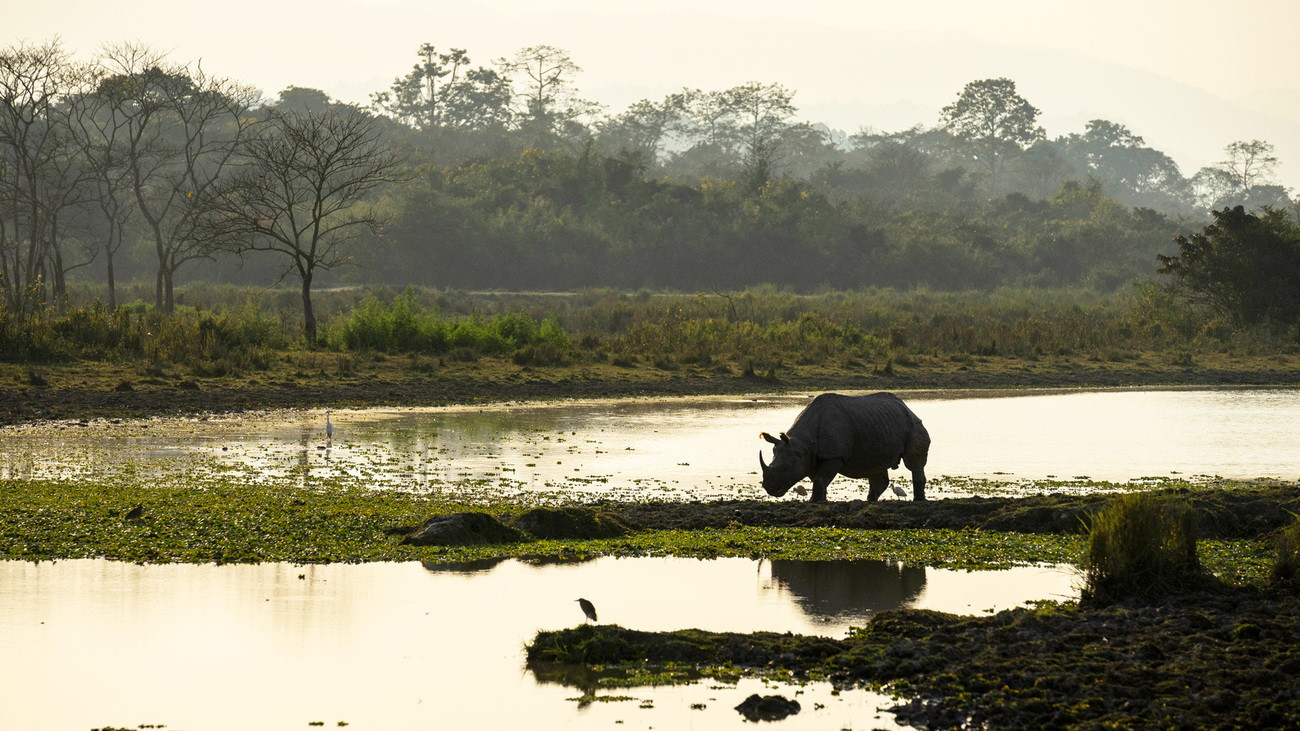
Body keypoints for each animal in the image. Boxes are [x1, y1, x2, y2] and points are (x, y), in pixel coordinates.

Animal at [759, 392, 930, 503]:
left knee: (913, 464)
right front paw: (819, 500)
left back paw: (918, 501)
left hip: (914, 426)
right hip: (881, 425)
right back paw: (870, 501)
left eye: (786, 469)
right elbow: (819, 480)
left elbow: (820, 479)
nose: (770, 489)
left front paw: (815, 501)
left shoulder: (834, 456)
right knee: (876, 464)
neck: (802, 444)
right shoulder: (810, 457)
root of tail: (907, 408)